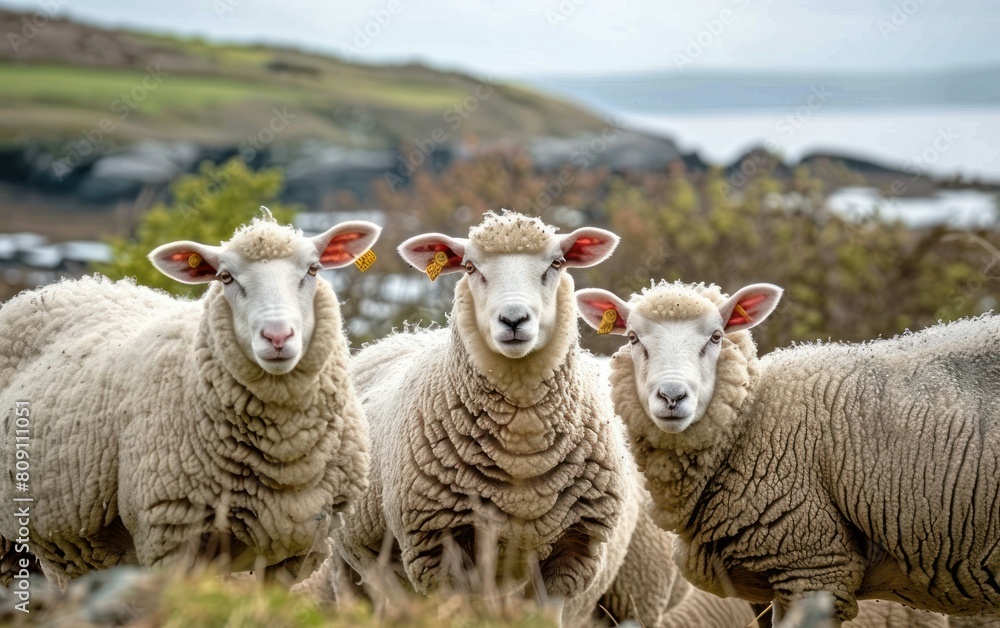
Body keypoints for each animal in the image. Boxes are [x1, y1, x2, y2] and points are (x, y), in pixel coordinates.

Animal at [0, 213, 380, 586]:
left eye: (313, 270)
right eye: (225, 277)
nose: (277, 336)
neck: (286, 454)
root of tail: (59, 286)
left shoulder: (299, 548)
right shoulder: (171, 538)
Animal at [576, 280, 1000, 625]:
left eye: (716, 336)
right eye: (633, 337)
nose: (672, 396)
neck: (749, 423)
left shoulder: (815, 565)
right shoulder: (778, 580)